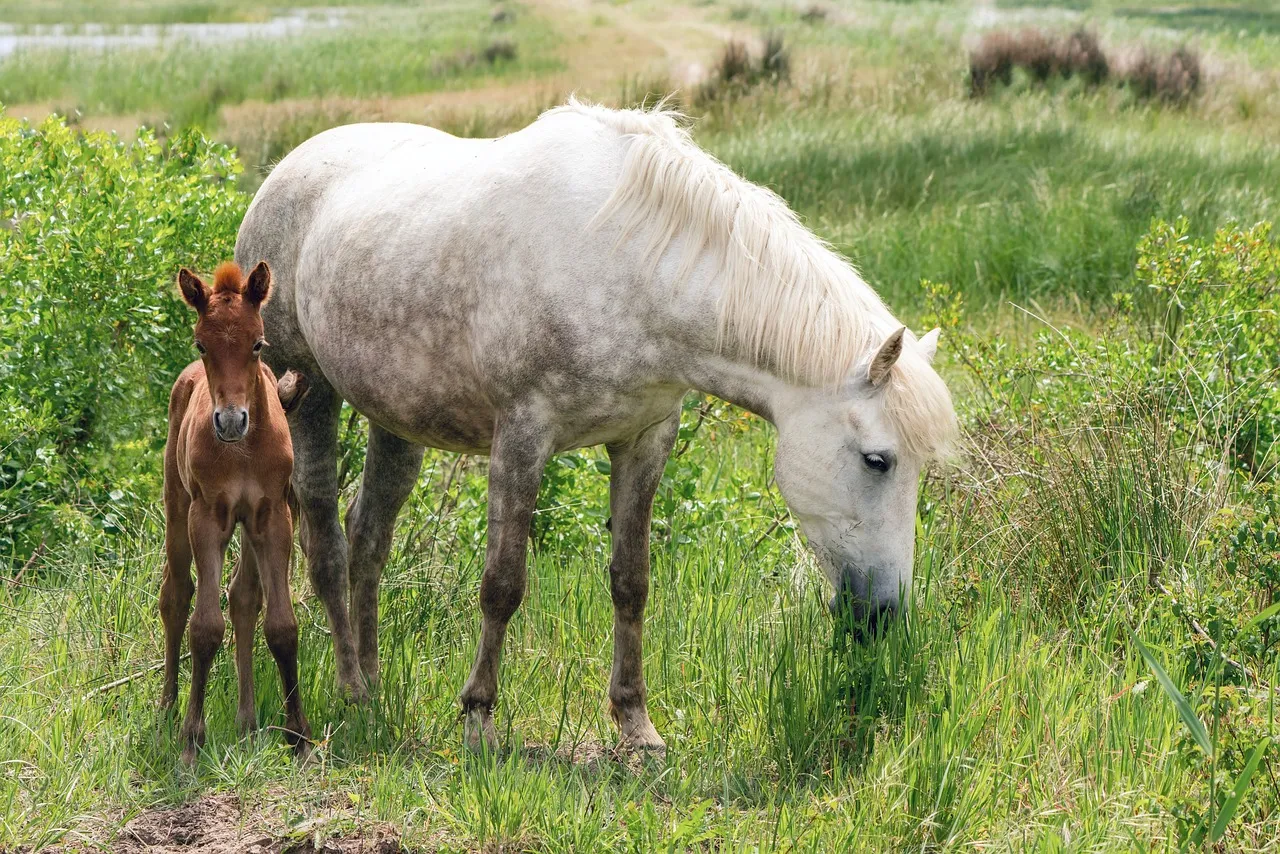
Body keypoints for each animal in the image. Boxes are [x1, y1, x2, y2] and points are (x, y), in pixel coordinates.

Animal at [159, 261, 312, 764]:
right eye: (201, 344)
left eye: (258, 343)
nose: (230, 421)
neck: (242, 452)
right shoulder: (207, 517)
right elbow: (205, 628)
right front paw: (191, 738)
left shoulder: (272, 516)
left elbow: (281, 625)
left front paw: (299, 736)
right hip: (177, 510)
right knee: (175, 596)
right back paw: (168, 706)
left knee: (243, 596)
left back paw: (247, 723)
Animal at [235, 99, 958, 753]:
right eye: (877, 460)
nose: (885, 615)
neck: (627, 266)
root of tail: (284, 170)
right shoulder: (522, 438)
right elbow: (502, 585)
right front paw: (478, 718)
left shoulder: (644, 439)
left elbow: (630, 582)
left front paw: (636, 725)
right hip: (309, 391)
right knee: (327, 542)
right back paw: (354, 690)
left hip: (397, 421)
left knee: (369, 538)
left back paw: (377, 687)